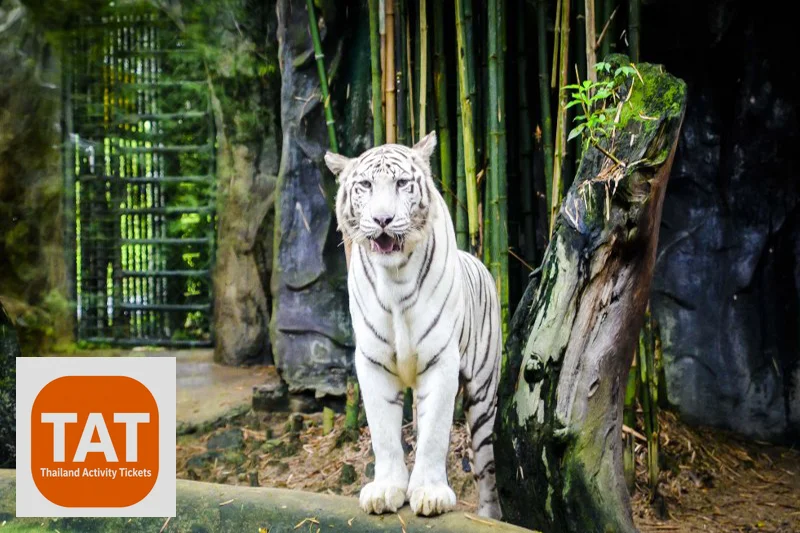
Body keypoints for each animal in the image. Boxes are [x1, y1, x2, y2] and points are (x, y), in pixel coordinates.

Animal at [324, 132, 502, 519]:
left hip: (483, 395)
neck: (394, 279)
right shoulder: (372, 362)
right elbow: (384, 435)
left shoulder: (441, 360)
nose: (383, 218)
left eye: (402, 183)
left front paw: (430, 493)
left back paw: (487, 516)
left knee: (486, 466)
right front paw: (386, 490)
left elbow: (435, 434)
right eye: (365, 185)